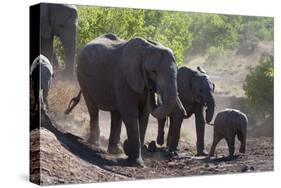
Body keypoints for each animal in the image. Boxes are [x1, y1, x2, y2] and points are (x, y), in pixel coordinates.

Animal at [66, 33, 178, 166]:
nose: (152, 89)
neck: (146, 49)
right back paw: (94, 143)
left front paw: (130, 153)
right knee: (93, 109)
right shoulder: (124, 78)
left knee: (116, 114)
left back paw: (115, 151)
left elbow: (144, 115)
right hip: (82, 78)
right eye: (153, 71)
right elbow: (130, 113)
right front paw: (136, 163)